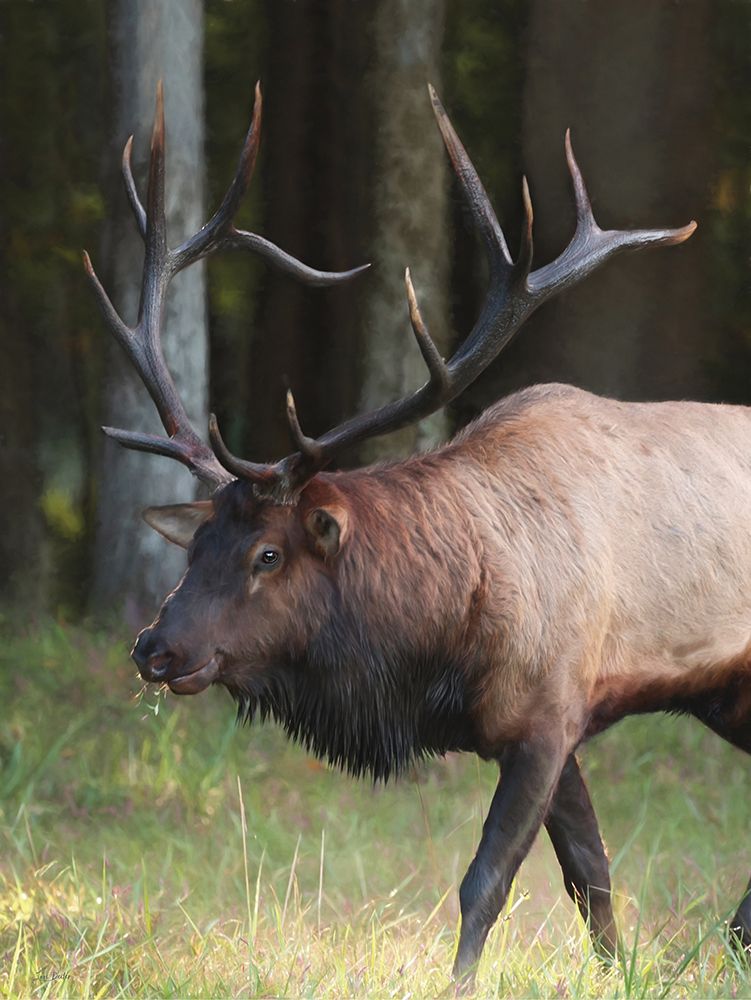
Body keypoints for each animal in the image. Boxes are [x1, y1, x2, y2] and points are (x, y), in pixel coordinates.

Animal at [84, 79, 751, 989]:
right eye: (195, 547)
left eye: (267, 553)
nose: (156, 647)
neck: (440, 651)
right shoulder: (542, 724)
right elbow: (590, 874)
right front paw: (623, 974)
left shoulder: (549, 710)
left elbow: (486, 881)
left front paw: (460, 983)